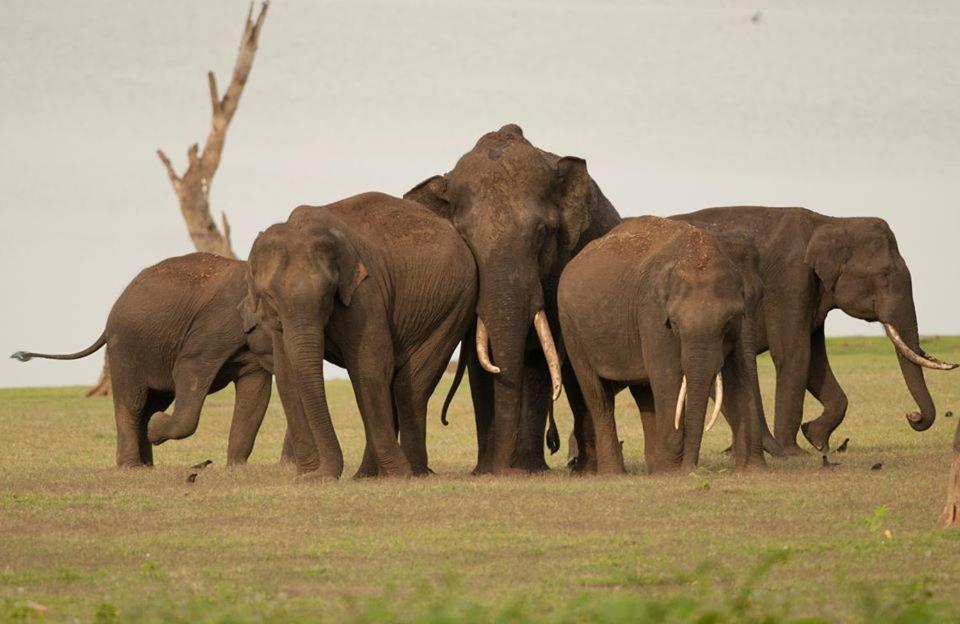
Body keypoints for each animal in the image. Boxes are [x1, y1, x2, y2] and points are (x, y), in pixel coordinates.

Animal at [11, 251, 274, 466]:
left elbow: (256, 390)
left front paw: (236, 468)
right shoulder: (214, 328)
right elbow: (188, 370)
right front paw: (155, 430)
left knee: (153, 402)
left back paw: (147, 462)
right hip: (125, 348)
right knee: (133, 403)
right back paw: (132, 466)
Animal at [244, 191, 476, 478]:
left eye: (328, 292)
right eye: (270, 296)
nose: (315, 474)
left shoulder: (364, 293)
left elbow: (370, 366)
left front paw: (399, 474)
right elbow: (287, 374)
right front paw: (305, 475)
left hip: (452, 306)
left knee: (406, 386)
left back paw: (412, 471)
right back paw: (366, 475)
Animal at [402, 124, 620, 476]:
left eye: (543, 232)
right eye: (464, 238)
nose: (503, 468)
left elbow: (538, 358)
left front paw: (528, 470)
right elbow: (479, 360)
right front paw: (485, 472)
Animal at [556, 216, 764, 472]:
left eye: (727, 322)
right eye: (673, 323)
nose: (691, 468)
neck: (698, 251)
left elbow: (737, 377)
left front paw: (753, 471)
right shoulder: (652, 314)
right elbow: (669, 377)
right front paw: (675, 472)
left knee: (644, 392)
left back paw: (656, 469)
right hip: (571, 328)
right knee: (599, 397)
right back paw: (615, 473)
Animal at [672, 207, 956, 456]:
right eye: (885, 274)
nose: (912, 416)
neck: (830, 222)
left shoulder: (813, 290)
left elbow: (815, 363)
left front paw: (816, 438)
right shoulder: (790, 279)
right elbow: (794, 353)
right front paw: (795, 451)